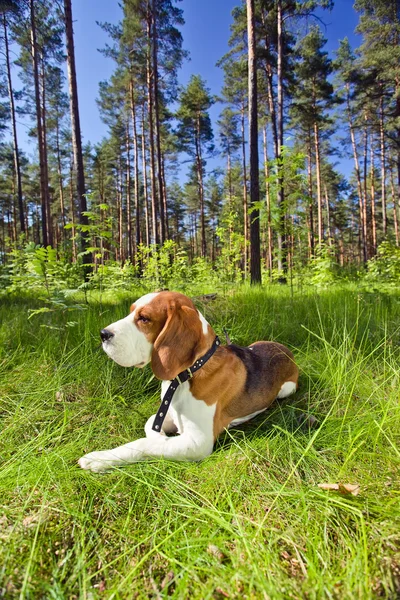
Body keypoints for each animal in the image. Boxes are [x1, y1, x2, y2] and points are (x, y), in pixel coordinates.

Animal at [79, 290, 296, 474]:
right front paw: (159, 436)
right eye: (131, 311)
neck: (187, 375)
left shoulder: (199, 442)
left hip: (287, 389)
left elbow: (143, 443)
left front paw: (100, 458)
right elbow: (151, 424)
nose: (103, 334)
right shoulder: (168, 413)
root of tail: (283, 348)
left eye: (144, 318)